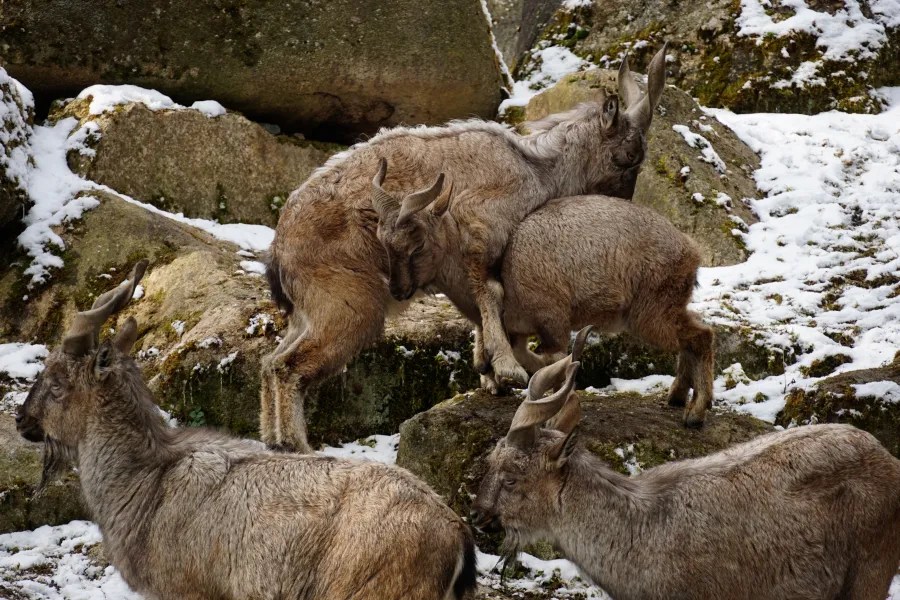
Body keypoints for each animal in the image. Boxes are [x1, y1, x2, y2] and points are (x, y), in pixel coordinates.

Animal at [263, 46, 668, 451]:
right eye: (628, 157)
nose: (622, 205)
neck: (538, 171)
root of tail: (280, 248)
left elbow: (483, 302)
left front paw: (487, 371)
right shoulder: (481, 229)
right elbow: (489, 291)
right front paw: (505, 367)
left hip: (308, 311)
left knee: (270, 362)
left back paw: (272, 438)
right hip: (347, 304)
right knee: (288, 368)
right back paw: (296, 444)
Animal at [373, 175, 714, 426]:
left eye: (418, 245)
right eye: (383, 242)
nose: (398, 290)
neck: (502, 267)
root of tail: (691, 250)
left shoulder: (552, 319)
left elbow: (554, 360)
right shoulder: (519, 330)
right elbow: (527, 358)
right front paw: (499, 380)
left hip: (650, 311)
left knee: (701, 335)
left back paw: (696, 412)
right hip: (665, 306)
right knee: (694, 332)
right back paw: (677, 397)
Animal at [470, 328, 900, 600]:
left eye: (512, 478)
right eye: (491, 458)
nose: (476, 515)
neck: (639, 532)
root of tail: (887, 458)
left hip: (870, 571)